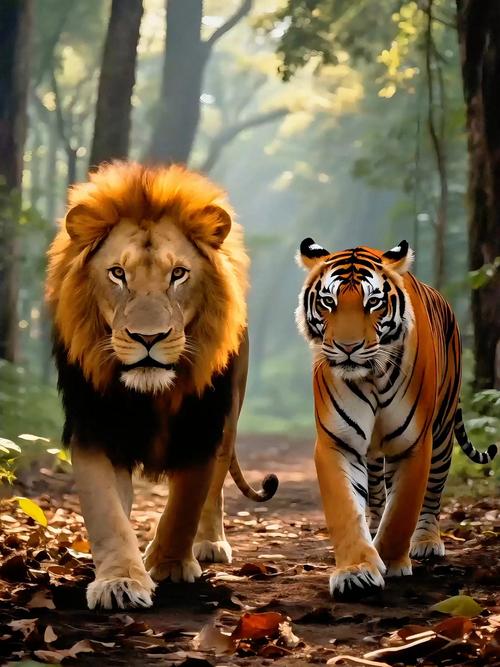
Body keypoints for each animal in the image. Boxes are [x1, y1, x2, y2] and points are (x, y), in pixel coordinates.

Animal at [296, 237, 497, 598]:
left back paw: (426, 541)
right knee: (376, 493)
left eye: (373, 302)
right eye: (329, 302)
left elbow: (403, 509)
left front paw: (390, 561)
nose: (348, 347)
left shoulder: (414, 444)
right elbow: (345, 508)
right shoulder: (338, 442)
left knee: (431, 494)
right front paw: (356, 571)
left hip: (442, 434)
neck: (371, 376)